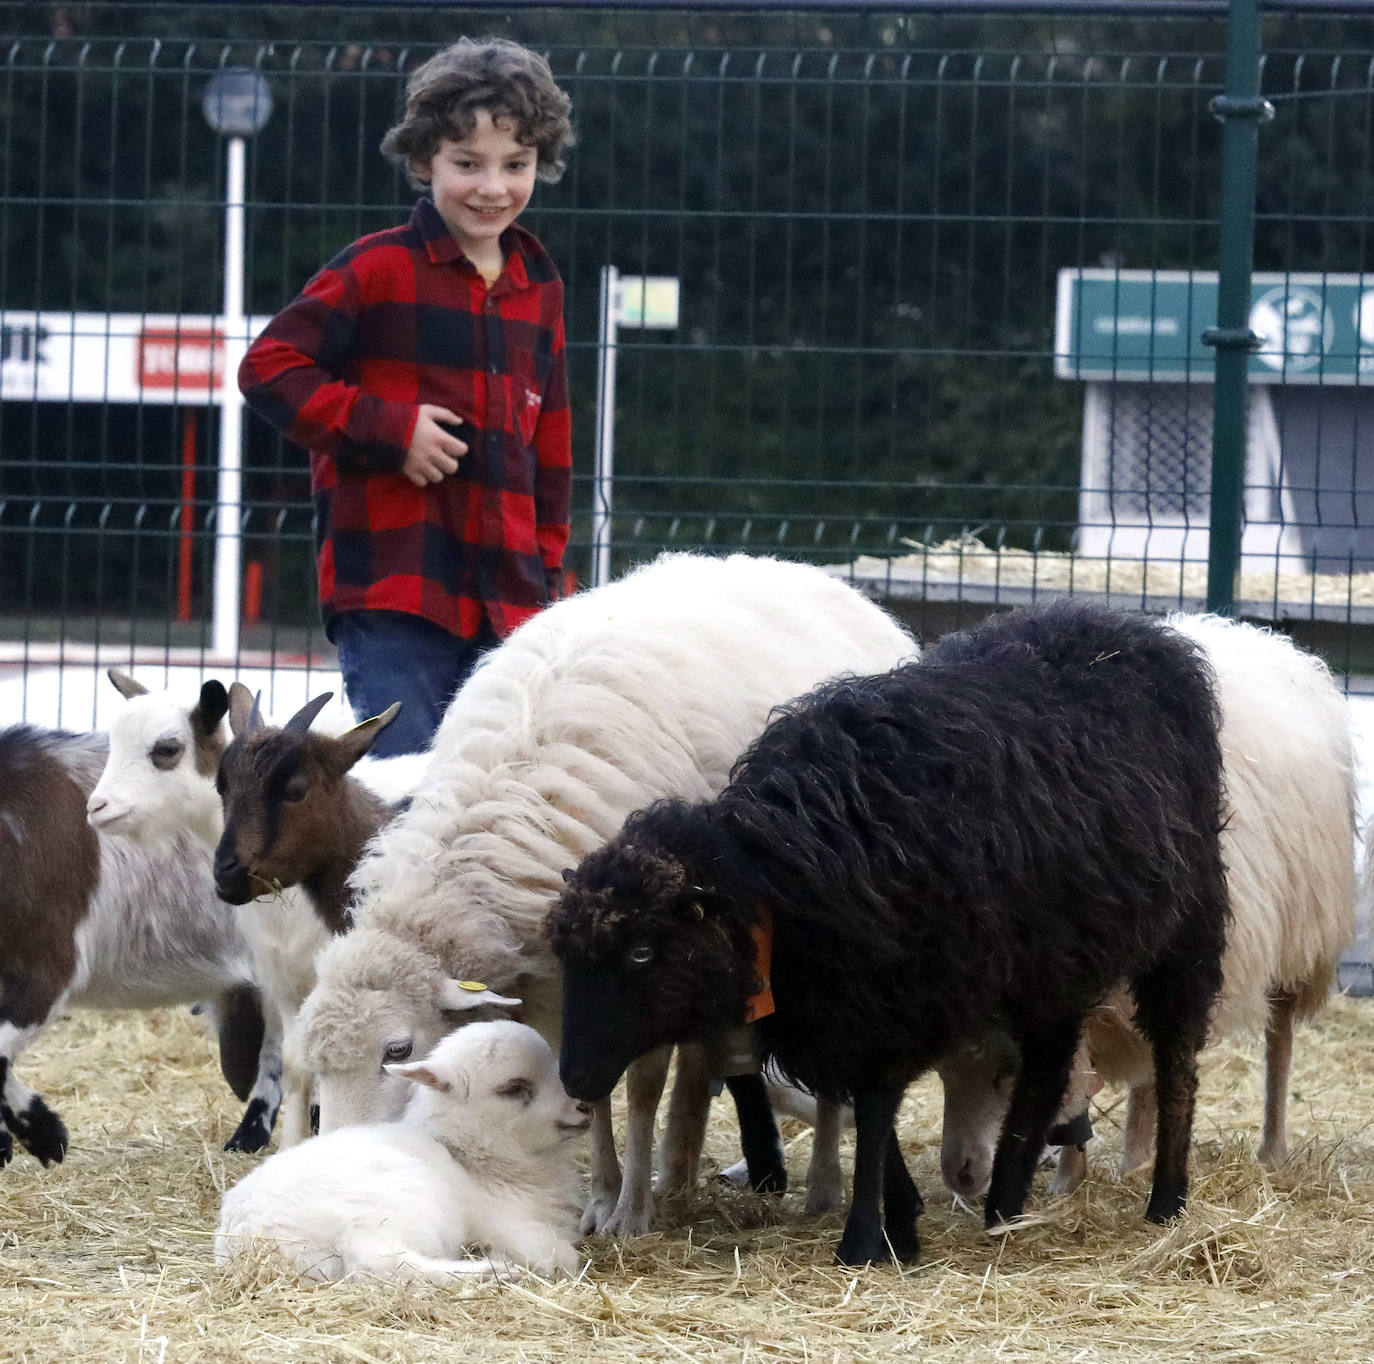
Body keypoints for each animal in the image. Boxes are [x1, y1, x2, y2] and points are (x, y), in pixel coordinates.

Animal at [211, 1016, 588, 1280]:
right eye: (514, 1088)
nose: (584, 1106)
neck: (472, 1160)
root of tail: (249, 1236)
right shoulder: (504, 1222)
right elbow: (560, 1255)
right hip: (389, 1206)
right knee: (376, 1262)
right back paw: (492, 1272)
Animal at [292, 549, 912, 1230]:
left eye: (397, 1047)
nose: (340, 1163)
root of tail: (809, 573)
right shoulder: (557, 981)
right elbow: (581, 1085)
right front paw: (600, 1200)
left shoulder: (641, 969)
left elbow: (638, 1089)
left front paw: (630, 1212)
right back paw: (680, 1173)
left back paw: (821, 1185)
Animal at [541, 601, 1231, 1263]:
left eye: (642, 951)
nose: (575, 1078)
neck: (777, 879)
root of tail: (1127, 627)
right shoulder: (849, 1007)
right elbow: (873, 1108)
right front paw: (902, 1222)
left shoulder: (896, 993)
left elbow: (874, 1109)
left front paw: (864, 1241)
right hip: (1048, 956)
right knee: (1048, 1063)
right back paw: (1006, 1203)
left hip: (1185, 921)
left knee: (1175, 1052)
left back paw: (1165, 1200)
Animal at [939, 612, 1357, 1197]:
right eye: (938, 1072)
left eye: (1006, 1072)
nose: (961, 1175)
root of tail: (1258, 635)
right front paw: (1071, 1176)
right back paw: (1135, 1155)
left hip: (1299, 935)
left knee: (1278, 1038)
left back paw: (1270, 1148)